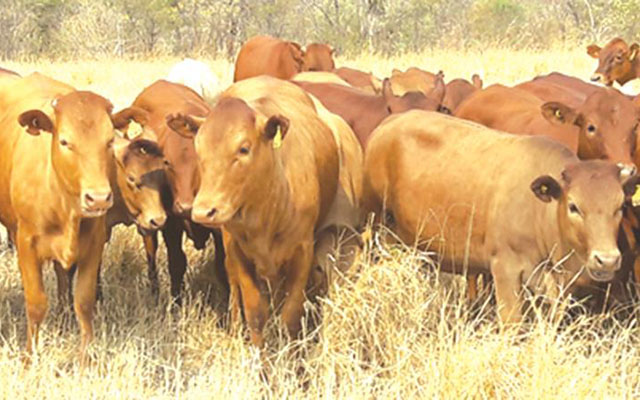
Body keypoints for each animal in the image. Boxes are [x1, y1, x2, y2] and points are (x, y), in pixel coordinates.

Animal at [0, 72, 141, 362]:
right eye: (64, 142)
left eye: (109, 141)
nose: (98, 198)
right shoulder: (26, 243)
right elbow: (36, 303)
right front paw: (29, 357)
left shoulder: (94, 243)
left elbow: (84, 302)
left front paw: (85, 359)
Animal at [129, 80, 226, 303]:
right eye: (167, 162)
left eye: (200, 160)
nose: (184, 207)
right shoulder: (171, 224)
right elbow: (176, 263)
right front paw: (175, 304)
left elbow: (222, 267)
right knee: (151, 253)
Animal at [167, 76, 361, 347]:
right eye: (198, 148)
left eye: (243, 149)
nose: (204, 211)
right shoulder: (239, 253)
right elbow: (255, 314)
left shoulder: (303, 252)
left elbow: (291, 315)